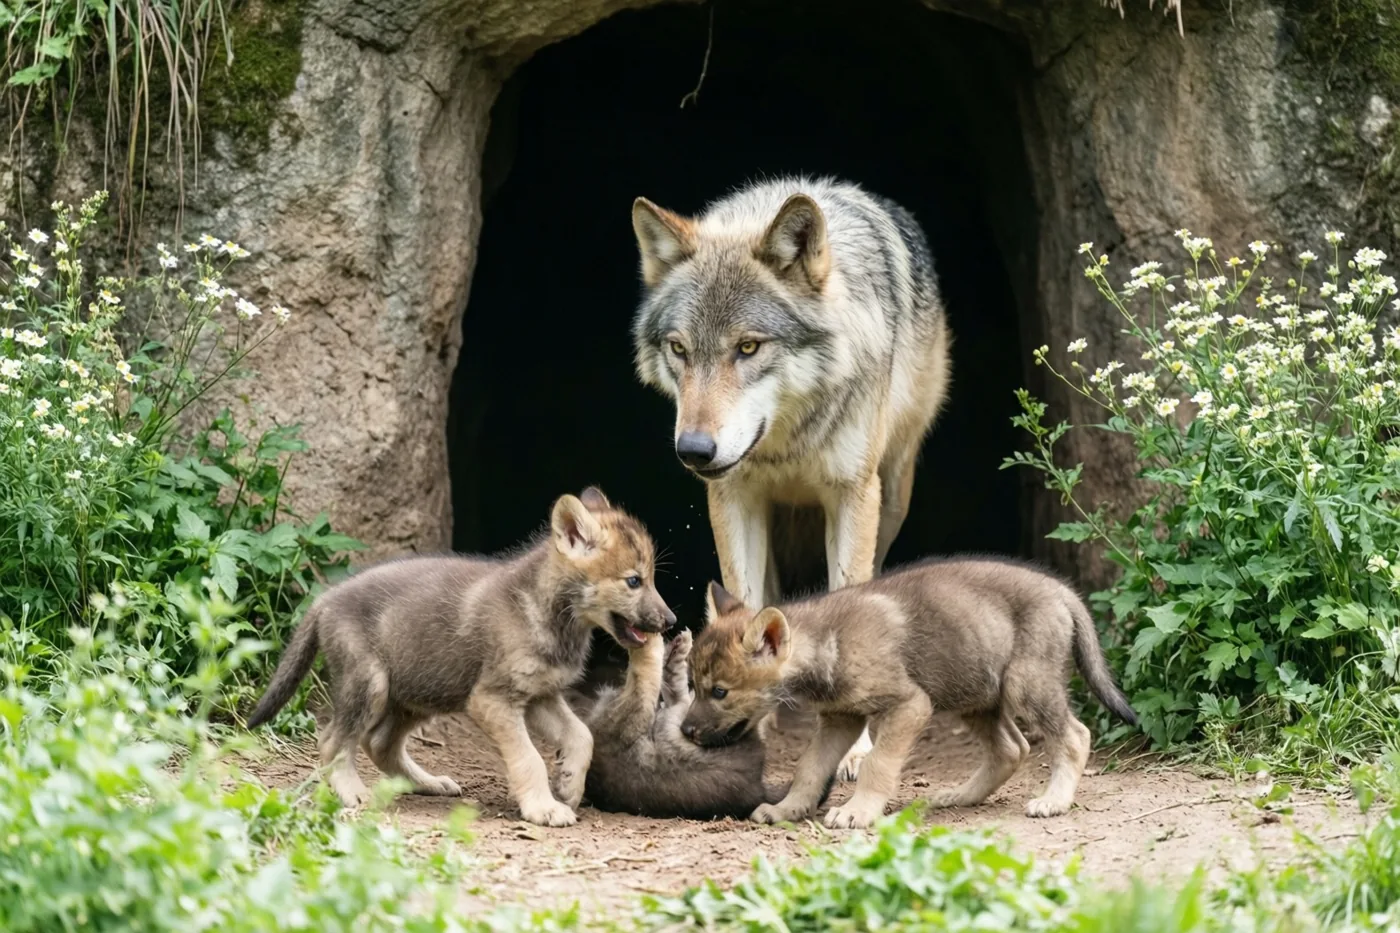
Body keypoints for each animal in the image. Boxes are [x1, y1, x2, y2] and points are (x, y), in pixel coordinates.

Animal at [245, 487, 675, 827]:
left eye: (651, 578)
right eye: (633, 581)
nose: (670, 621)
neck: (546, 610)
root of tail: (323, 601)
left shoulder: (541, 696)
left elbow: (581, 736)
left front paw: (569, 784)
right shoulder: (493, 700)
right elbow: (529, 758)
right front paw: (544, 808)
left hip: (419, 692)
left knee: (379, 743)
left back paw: (429, 783)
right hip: (373, 685)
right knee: (333, 741)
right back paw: (353, 792)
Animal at [630, 176, 952, 781]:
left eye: (748, 347)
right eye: (679, 348)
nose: (694, 450)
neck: (787, 441)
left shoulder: (852, 496)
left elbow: (850, 603)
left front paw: (856, 746)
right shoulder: (733, 496)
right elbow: (743, 602)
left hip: (892, 492)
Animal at [681, 558, 1138, 829]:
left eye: (719, 691)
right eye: (692, 685)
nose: (685, 731)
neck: (828, 640)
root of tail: (1062, 591)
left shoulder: (909, 706)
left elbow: (877, 764)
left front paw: (857, 812)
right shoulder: (839, 719)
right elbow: (809, 768)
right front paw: (787, 808)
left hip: (1025, 686)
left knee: (1075, 735)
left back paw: (1053, 801)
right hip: (975, 694)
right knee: (1012, 748)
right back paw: (959, 796)